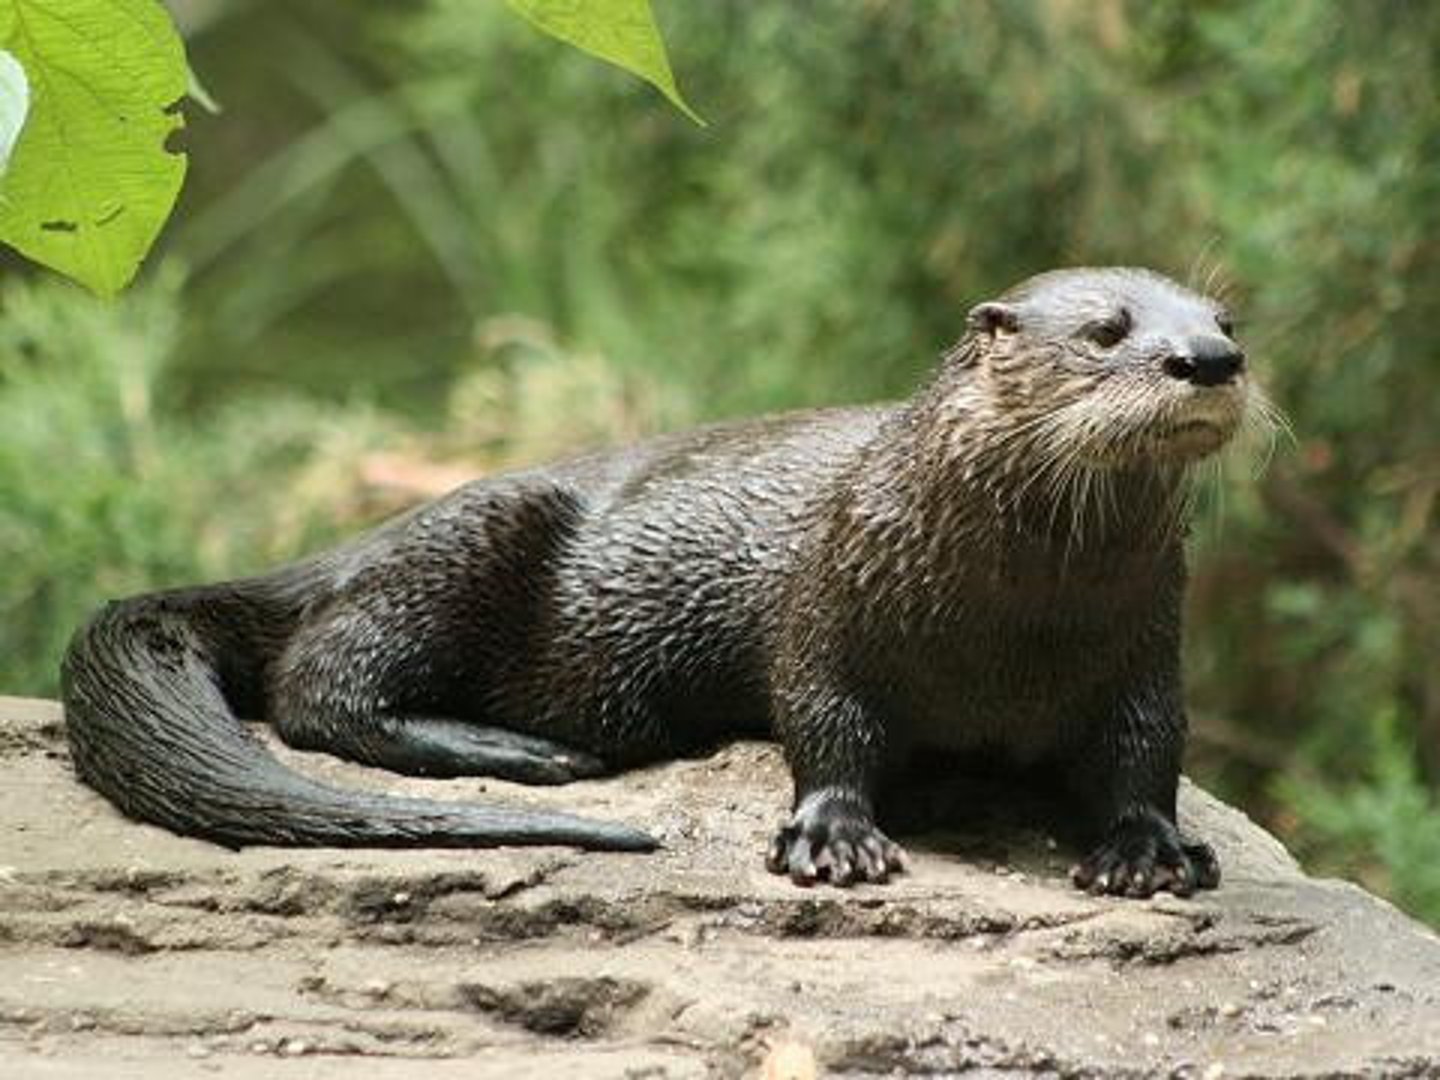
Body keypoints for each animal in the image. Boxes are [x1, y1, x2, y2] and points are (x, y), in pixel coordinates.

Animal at [62, 267, 1271, 897]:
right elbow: (822, 721)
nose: (1210, 361)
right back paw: (524, 752)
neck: (1015, 625)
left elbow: (1145, 751)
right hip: (465, 544)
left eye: (1226, 321)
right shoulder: (830, 609)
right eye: (1107, 329)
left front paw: (1150, 848)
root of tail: (353, 542)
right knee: (319, 685)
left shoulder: (1144, 650)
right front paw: (835, 838)